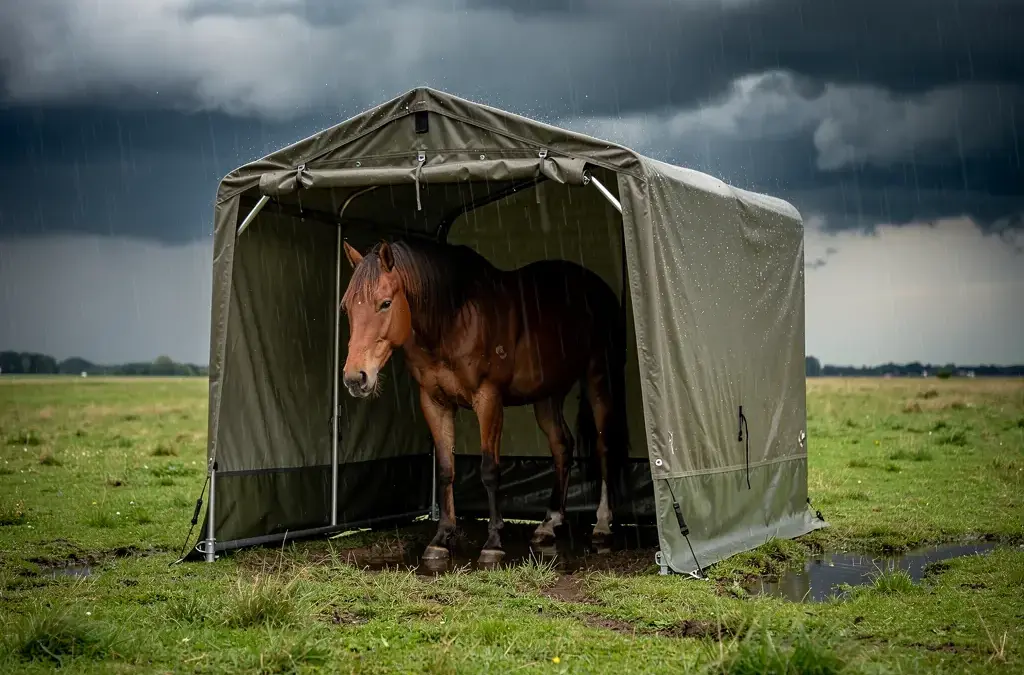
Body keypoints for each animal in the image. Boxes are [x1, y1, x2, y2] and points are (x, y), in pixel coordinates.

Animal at [339, 237, 628, 565]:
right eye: (346, 307)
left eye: (386, 303)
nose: (355, 378)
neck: (452, 318)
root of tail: (600, 288)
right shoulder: (434, 402)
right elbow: (446, 470)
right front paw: (441, 539)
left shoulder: (488, 398)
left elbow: (490, 470)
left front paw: (493, 543)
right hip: (547, 395)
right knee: (562, 446)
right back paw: (548, 523)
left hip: (599, 380)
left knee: (604, 448)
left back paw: (602, 525)